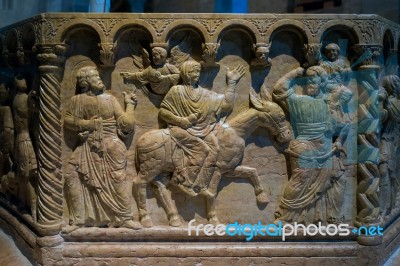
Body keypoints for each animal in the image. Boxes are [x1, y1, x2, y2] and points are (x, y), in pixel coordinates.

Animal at [133, 92, 290, 228]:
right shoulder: (218, 170)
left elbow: (252, 171)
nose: (287, 136)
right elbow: (212, 193)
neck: (235, 132)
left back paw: (174, 219)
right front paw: (214, 220)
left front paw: (262, 197)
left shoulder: (230, 169)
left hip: (163, 169)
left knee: (160, 188)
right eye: (281, 116)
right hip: (151, 167)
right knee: (139, 184)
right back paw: (146, 220)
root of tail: (139, 141)